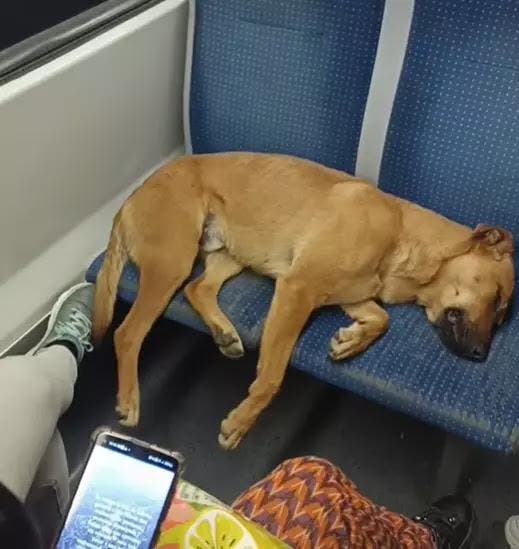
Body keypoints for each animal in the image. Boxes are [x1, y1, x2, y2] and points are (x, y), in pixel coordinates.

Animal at [93, 151, 516, 450]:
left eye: (500, 314)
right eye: (497, 300)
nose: (481, 355)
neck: (401, 235)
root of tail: (128, 201)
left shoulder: (351, 296)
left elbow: (382, 320)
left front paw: (350, 342)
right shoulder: (299, 289)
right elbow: (271, 377)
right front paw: (242, 422)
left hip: (230, 254)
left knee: (198, 289)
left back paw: (224, 332)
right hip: (172, 262)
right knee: (128, 333)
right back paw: (129, 399)